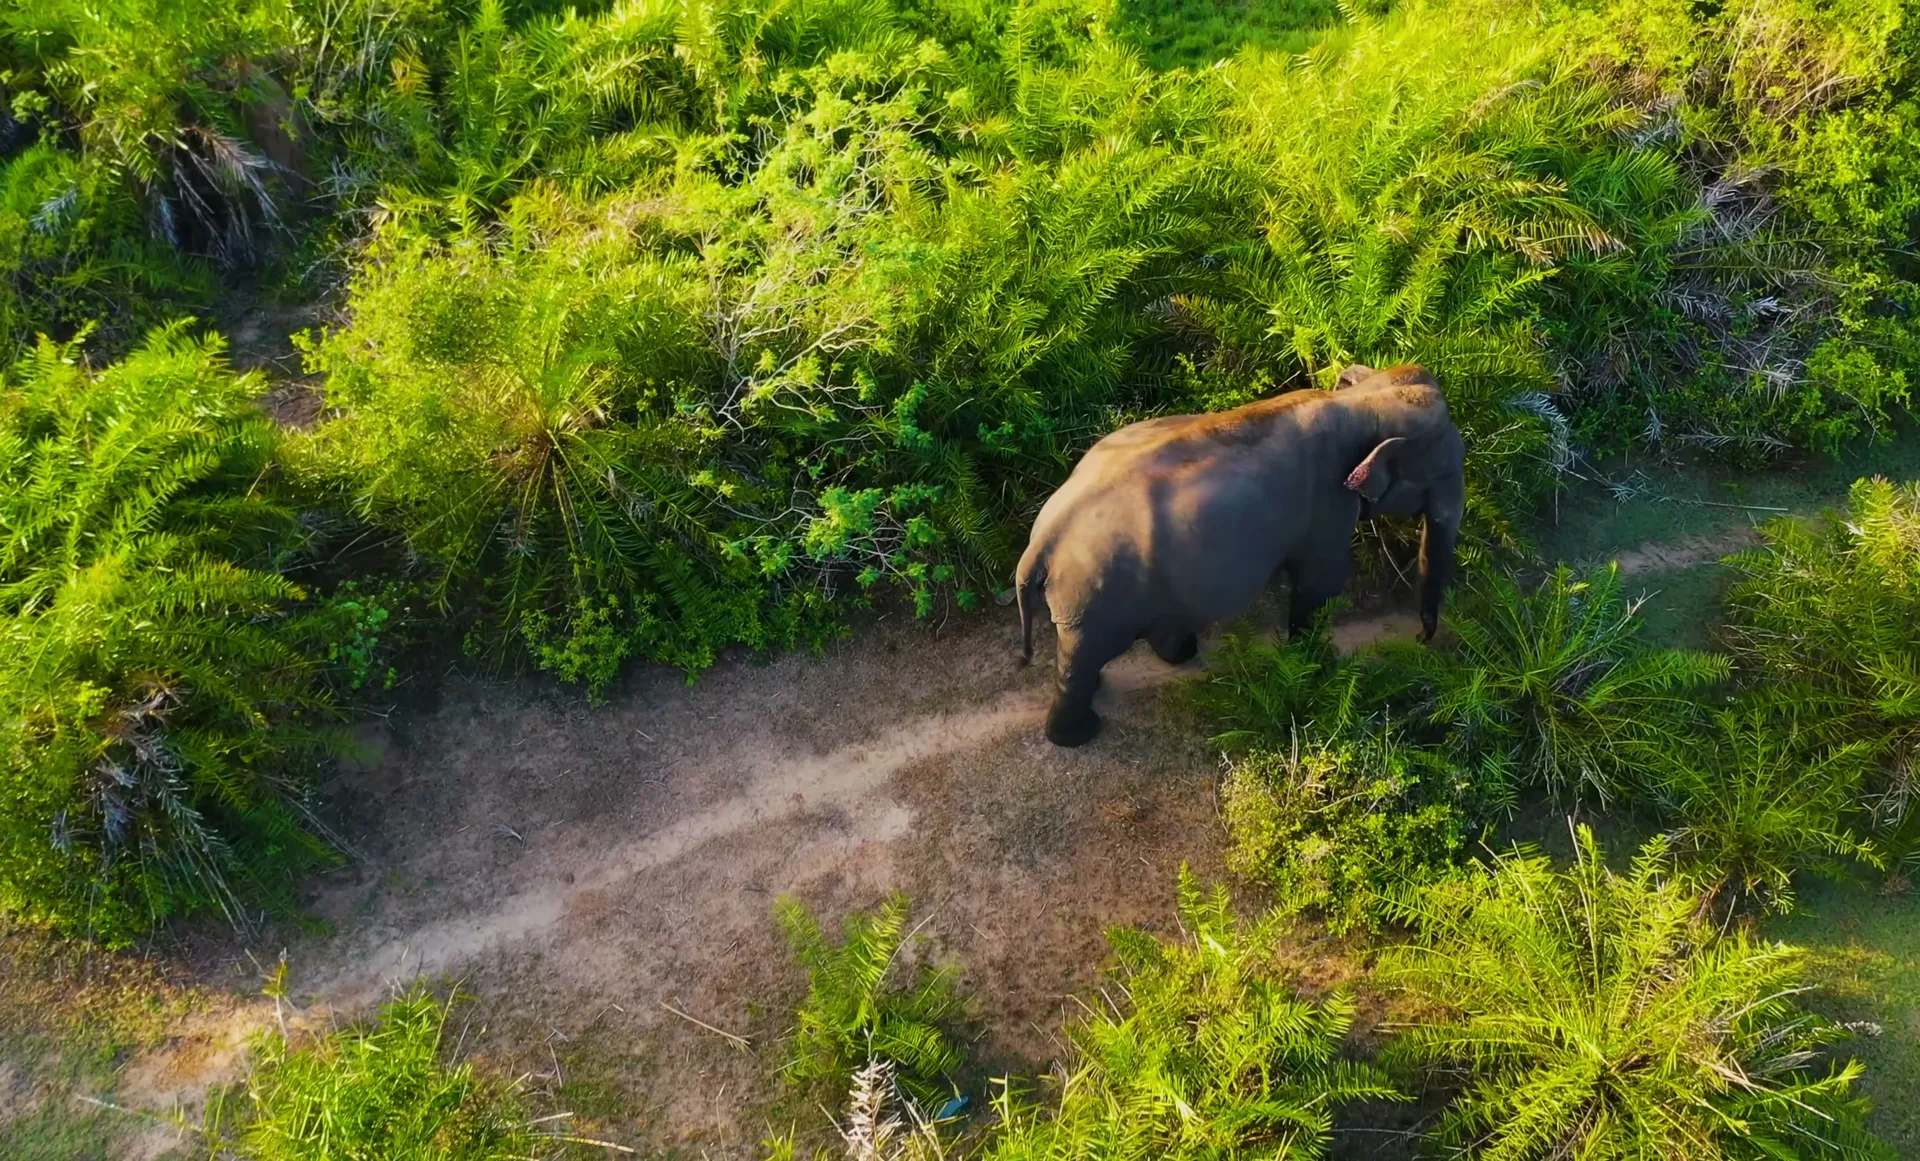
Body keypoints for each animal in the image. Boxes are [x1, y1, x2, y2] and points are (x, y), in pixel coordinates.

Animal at [1014, 363, 1465, 747]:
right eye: (1444, 472)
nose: (1422, 639)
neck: (1362, 401)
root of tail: (1041, 543)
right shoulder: (1328, 507)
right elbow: (1320, 584)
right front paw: (1318, 668)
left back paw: (1177, 655)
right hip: (1098, 598)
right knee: (1084, 656)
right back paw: (1079, 733)